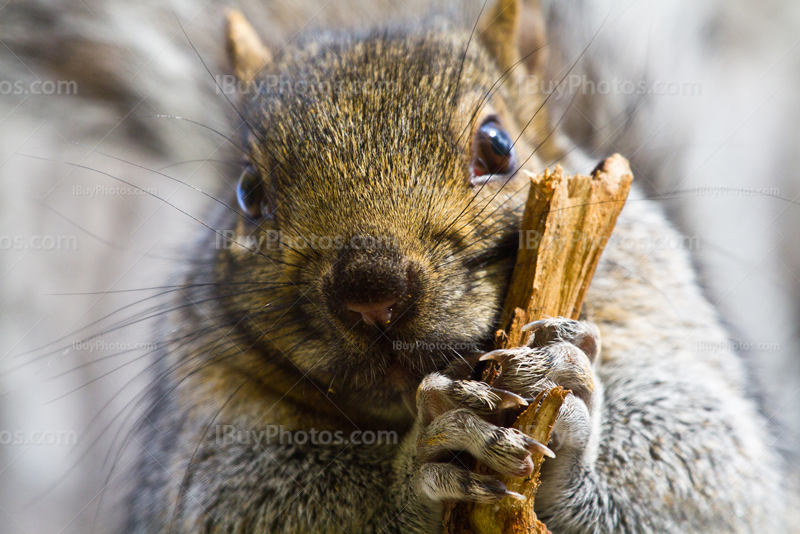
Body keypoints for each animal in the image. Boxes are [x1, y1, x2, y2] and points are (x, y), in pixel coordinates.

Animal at [122, 1, 792, 534]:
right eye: (248, 192)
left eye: (497, 145)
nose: (371, 292)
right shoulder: (202, 423)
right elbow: (238, 496)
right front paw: (428, 460)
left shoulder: (659, 307)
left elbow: (717, 471)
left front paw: (564, 393)